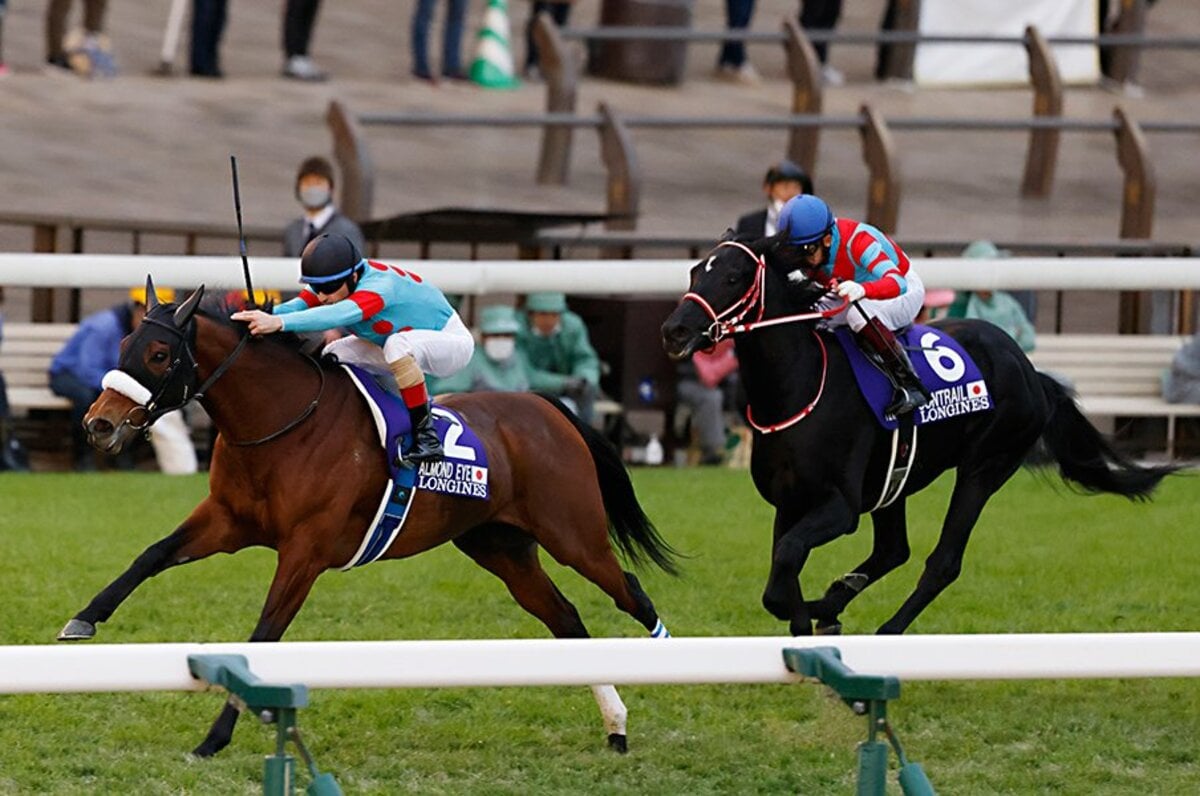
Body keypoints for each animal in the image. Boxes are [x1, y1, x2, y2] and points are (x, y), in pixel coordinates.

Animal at [60, 281, 679, 757]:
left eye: (160, 356)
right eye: (124, 343)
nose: (98, 424)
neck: (284, 423)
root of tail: (547, 407)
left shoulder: (305, 551)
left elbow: (263, 635)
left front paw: (214, 738)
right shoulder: (226, 522)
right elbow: (151, 556)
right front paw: (82, 619)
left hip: (575, 536)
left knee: (632, 592)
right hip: (502, 549)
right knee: (567, 619)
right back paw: (616, 725)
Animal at [661, 236, 1177, 637]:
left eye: (733, 277)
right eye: (694, 271)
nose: (675, 329)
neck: (801, 386)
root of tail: (1031, 371)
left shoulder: (840, 507)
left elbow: (787, 560)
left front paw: (807, 619)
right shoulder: (790, 501)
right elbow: (777, 581)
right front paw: (810, 612)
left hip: (984, 467)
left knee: (942, 561)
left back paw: (885, 630)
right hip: (896, 479)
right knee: (894, 549)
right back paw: (834, 601)